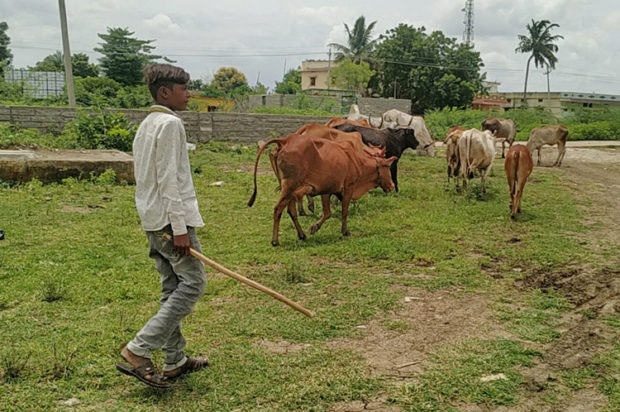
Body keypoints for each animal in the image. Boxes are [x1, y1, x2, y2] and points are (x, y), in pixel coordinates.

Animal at [248, 134, 398, 245]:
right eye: (388, 167)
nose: (391, 186)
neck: (356, 161)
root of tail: (285, 141)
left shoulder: (327, 191)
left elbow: (327, 213)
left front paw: (314, 227)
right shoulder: (348, 188)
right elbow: (344, 212)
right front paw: (345, 231)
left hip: (288, 190)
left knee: (291, 210)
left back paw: (302, 235)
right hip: (290, 187)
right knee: (278, 209)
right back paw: (275, 240)